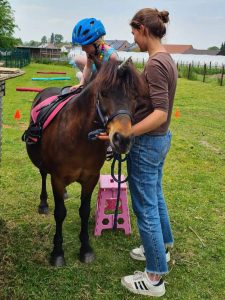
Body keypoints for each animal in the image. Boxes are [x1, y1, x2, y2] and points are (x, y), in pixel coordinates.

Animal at [24, 58, 143, 268]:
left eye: (135, 96)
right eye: (103, 93)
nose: (122, 139)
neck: (78, 137)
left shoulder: (90, 178)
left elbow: (85, 211)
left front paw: (85, 249)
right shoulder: (58, 178)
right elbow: (60, 213)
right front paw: (57, 252)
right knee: (44, 174)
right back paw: (44, 203)